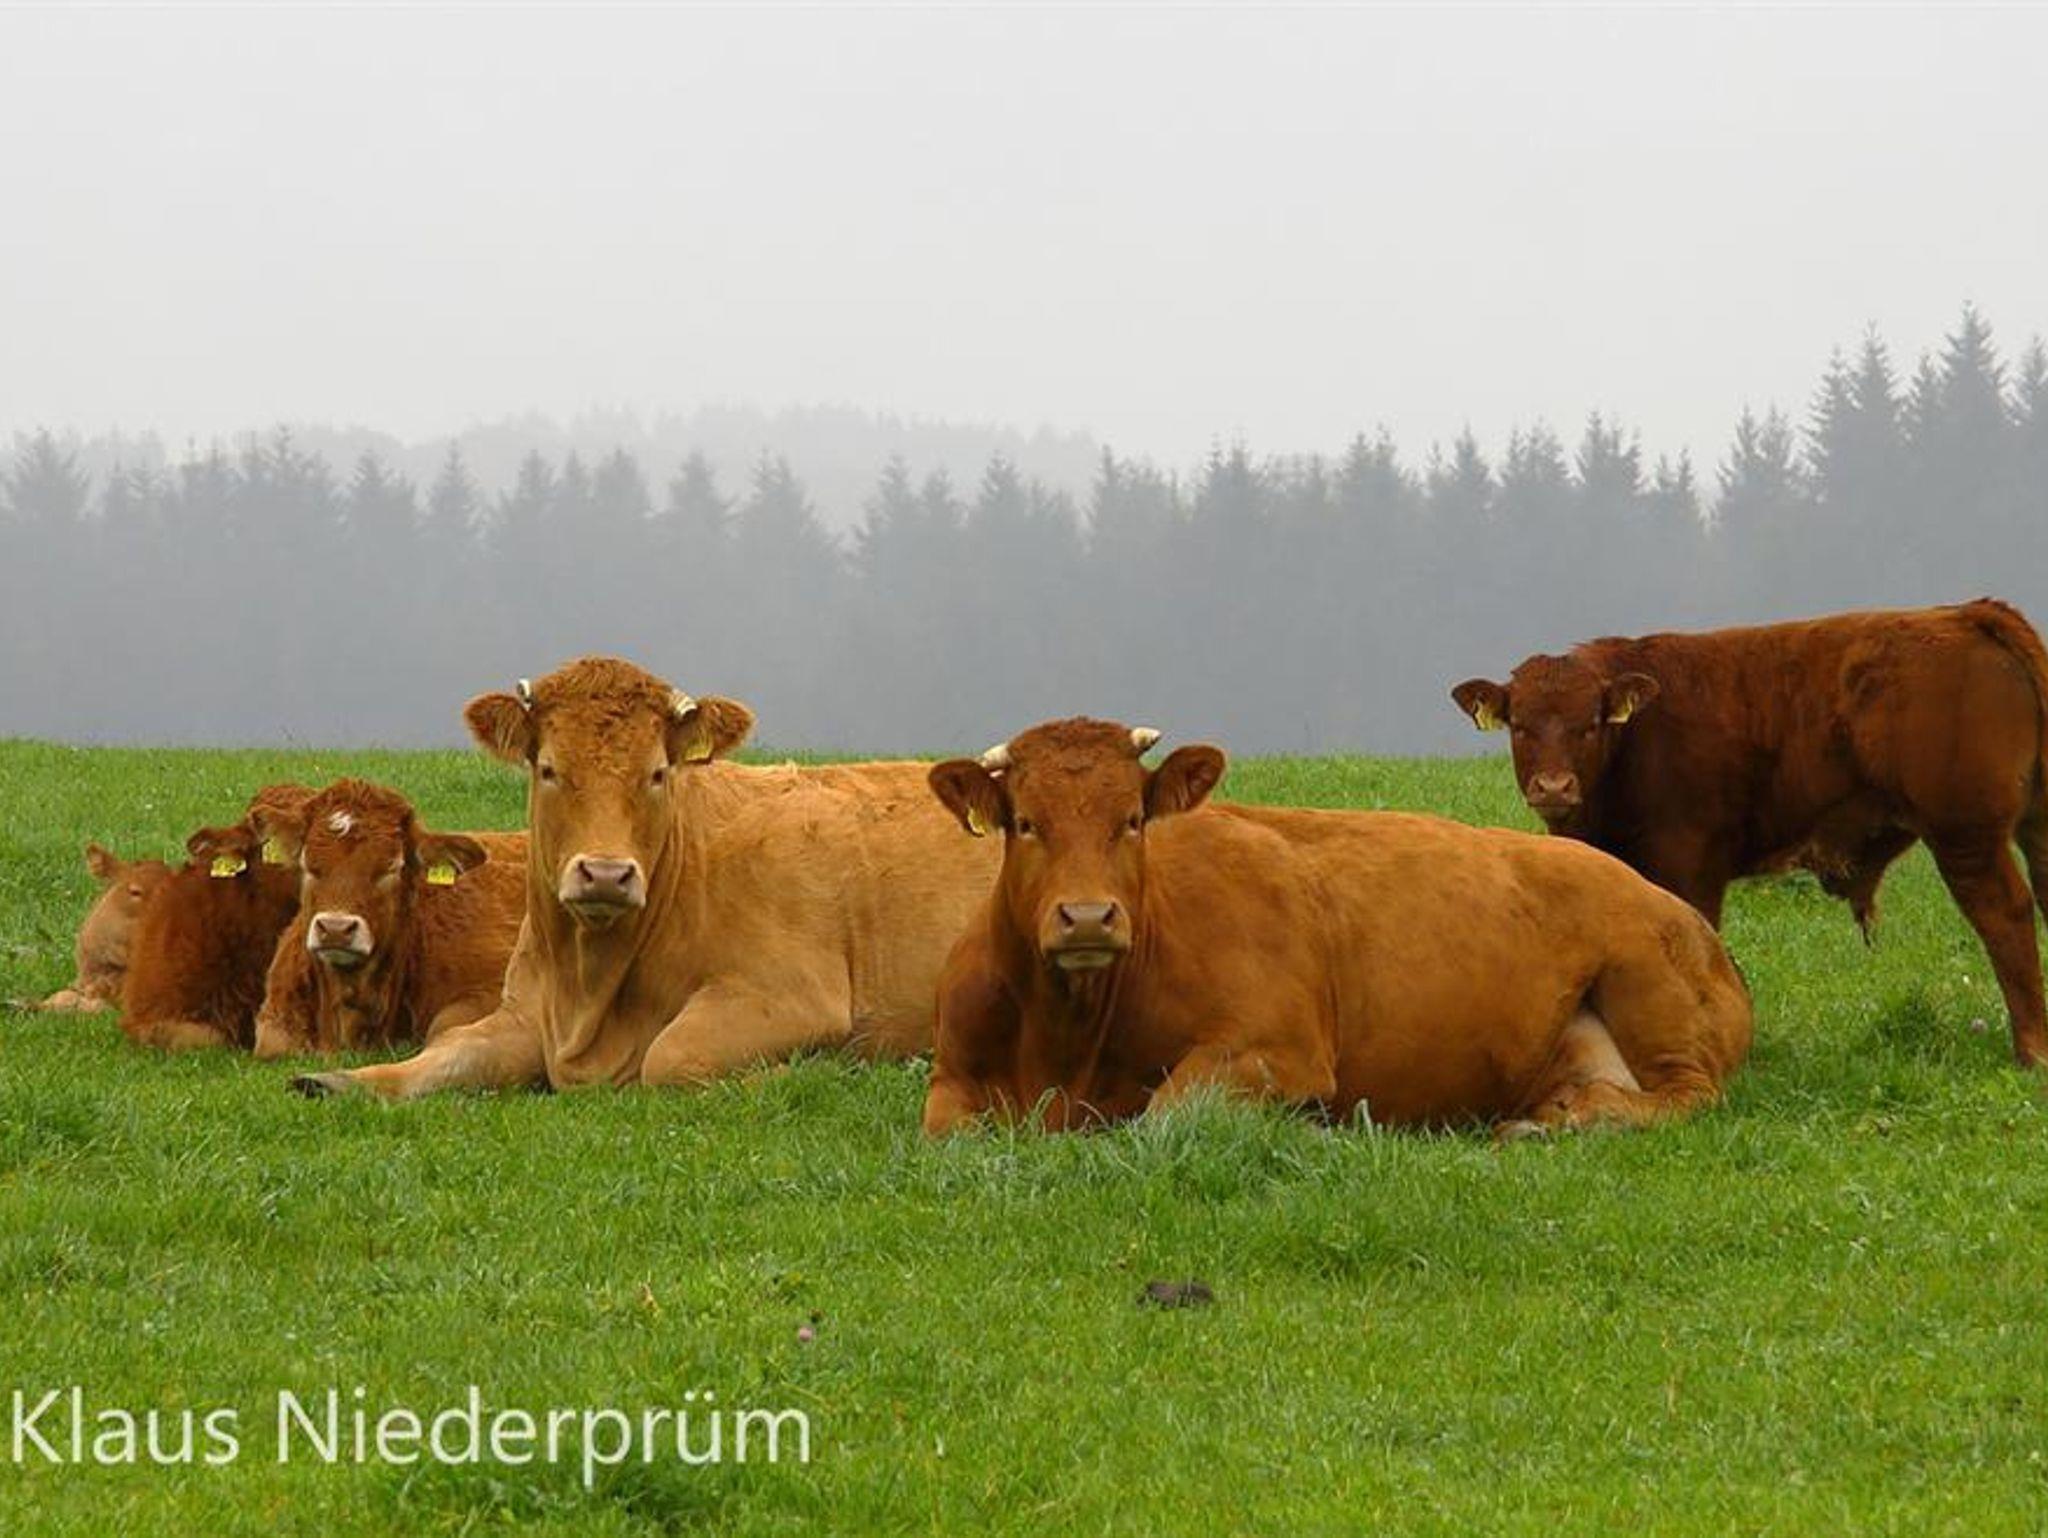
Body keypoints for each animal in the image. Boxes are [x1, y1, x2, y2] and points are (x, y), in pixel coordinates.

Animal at [291, 656, 1001, 1098]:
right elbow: (445, 1056)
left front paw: (816, 1071)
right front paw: (341, 1080)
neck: (589, 988)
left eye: (657, 773)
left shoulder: (789, 994)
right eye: (548, 769)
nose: (606, 874)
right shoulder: (520, 1014)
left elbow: (671, 1056)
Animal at [920, 717, 1752, 1136]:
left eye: (1131, 820)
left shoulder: (1276, 1049)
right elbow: (950, 1131)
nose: (1089, 916)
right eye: (1025, 823)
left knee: (1688, 1093)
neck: (1067, 1049)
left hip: (1649, 980)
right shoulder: (951, 1077)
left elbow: (1164, 1116)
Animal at [1451, 599, 2048, 1064]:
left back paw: (2031, 1049)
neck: (1638, 740)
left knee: (2006, 917)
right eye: (1520, 726)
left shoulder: (1688, 864)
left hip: (1965, 836)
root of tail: (1967, 613)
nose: (1554, 786)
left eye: (1590, 724)